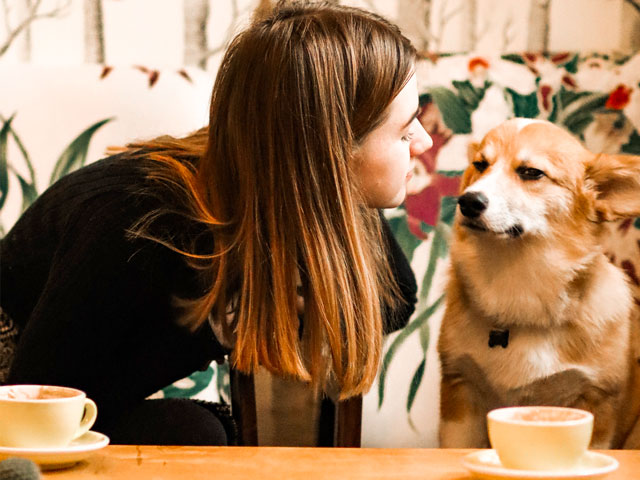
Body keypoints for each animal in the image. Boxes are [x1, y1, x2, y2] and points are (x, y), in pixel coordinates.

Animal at [438, 119, 640, 450]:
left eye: (531, 172)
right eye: (480, 165)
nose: (468, 201)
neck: (517, 280)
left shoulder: (596, 401)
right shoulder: (460, 390)